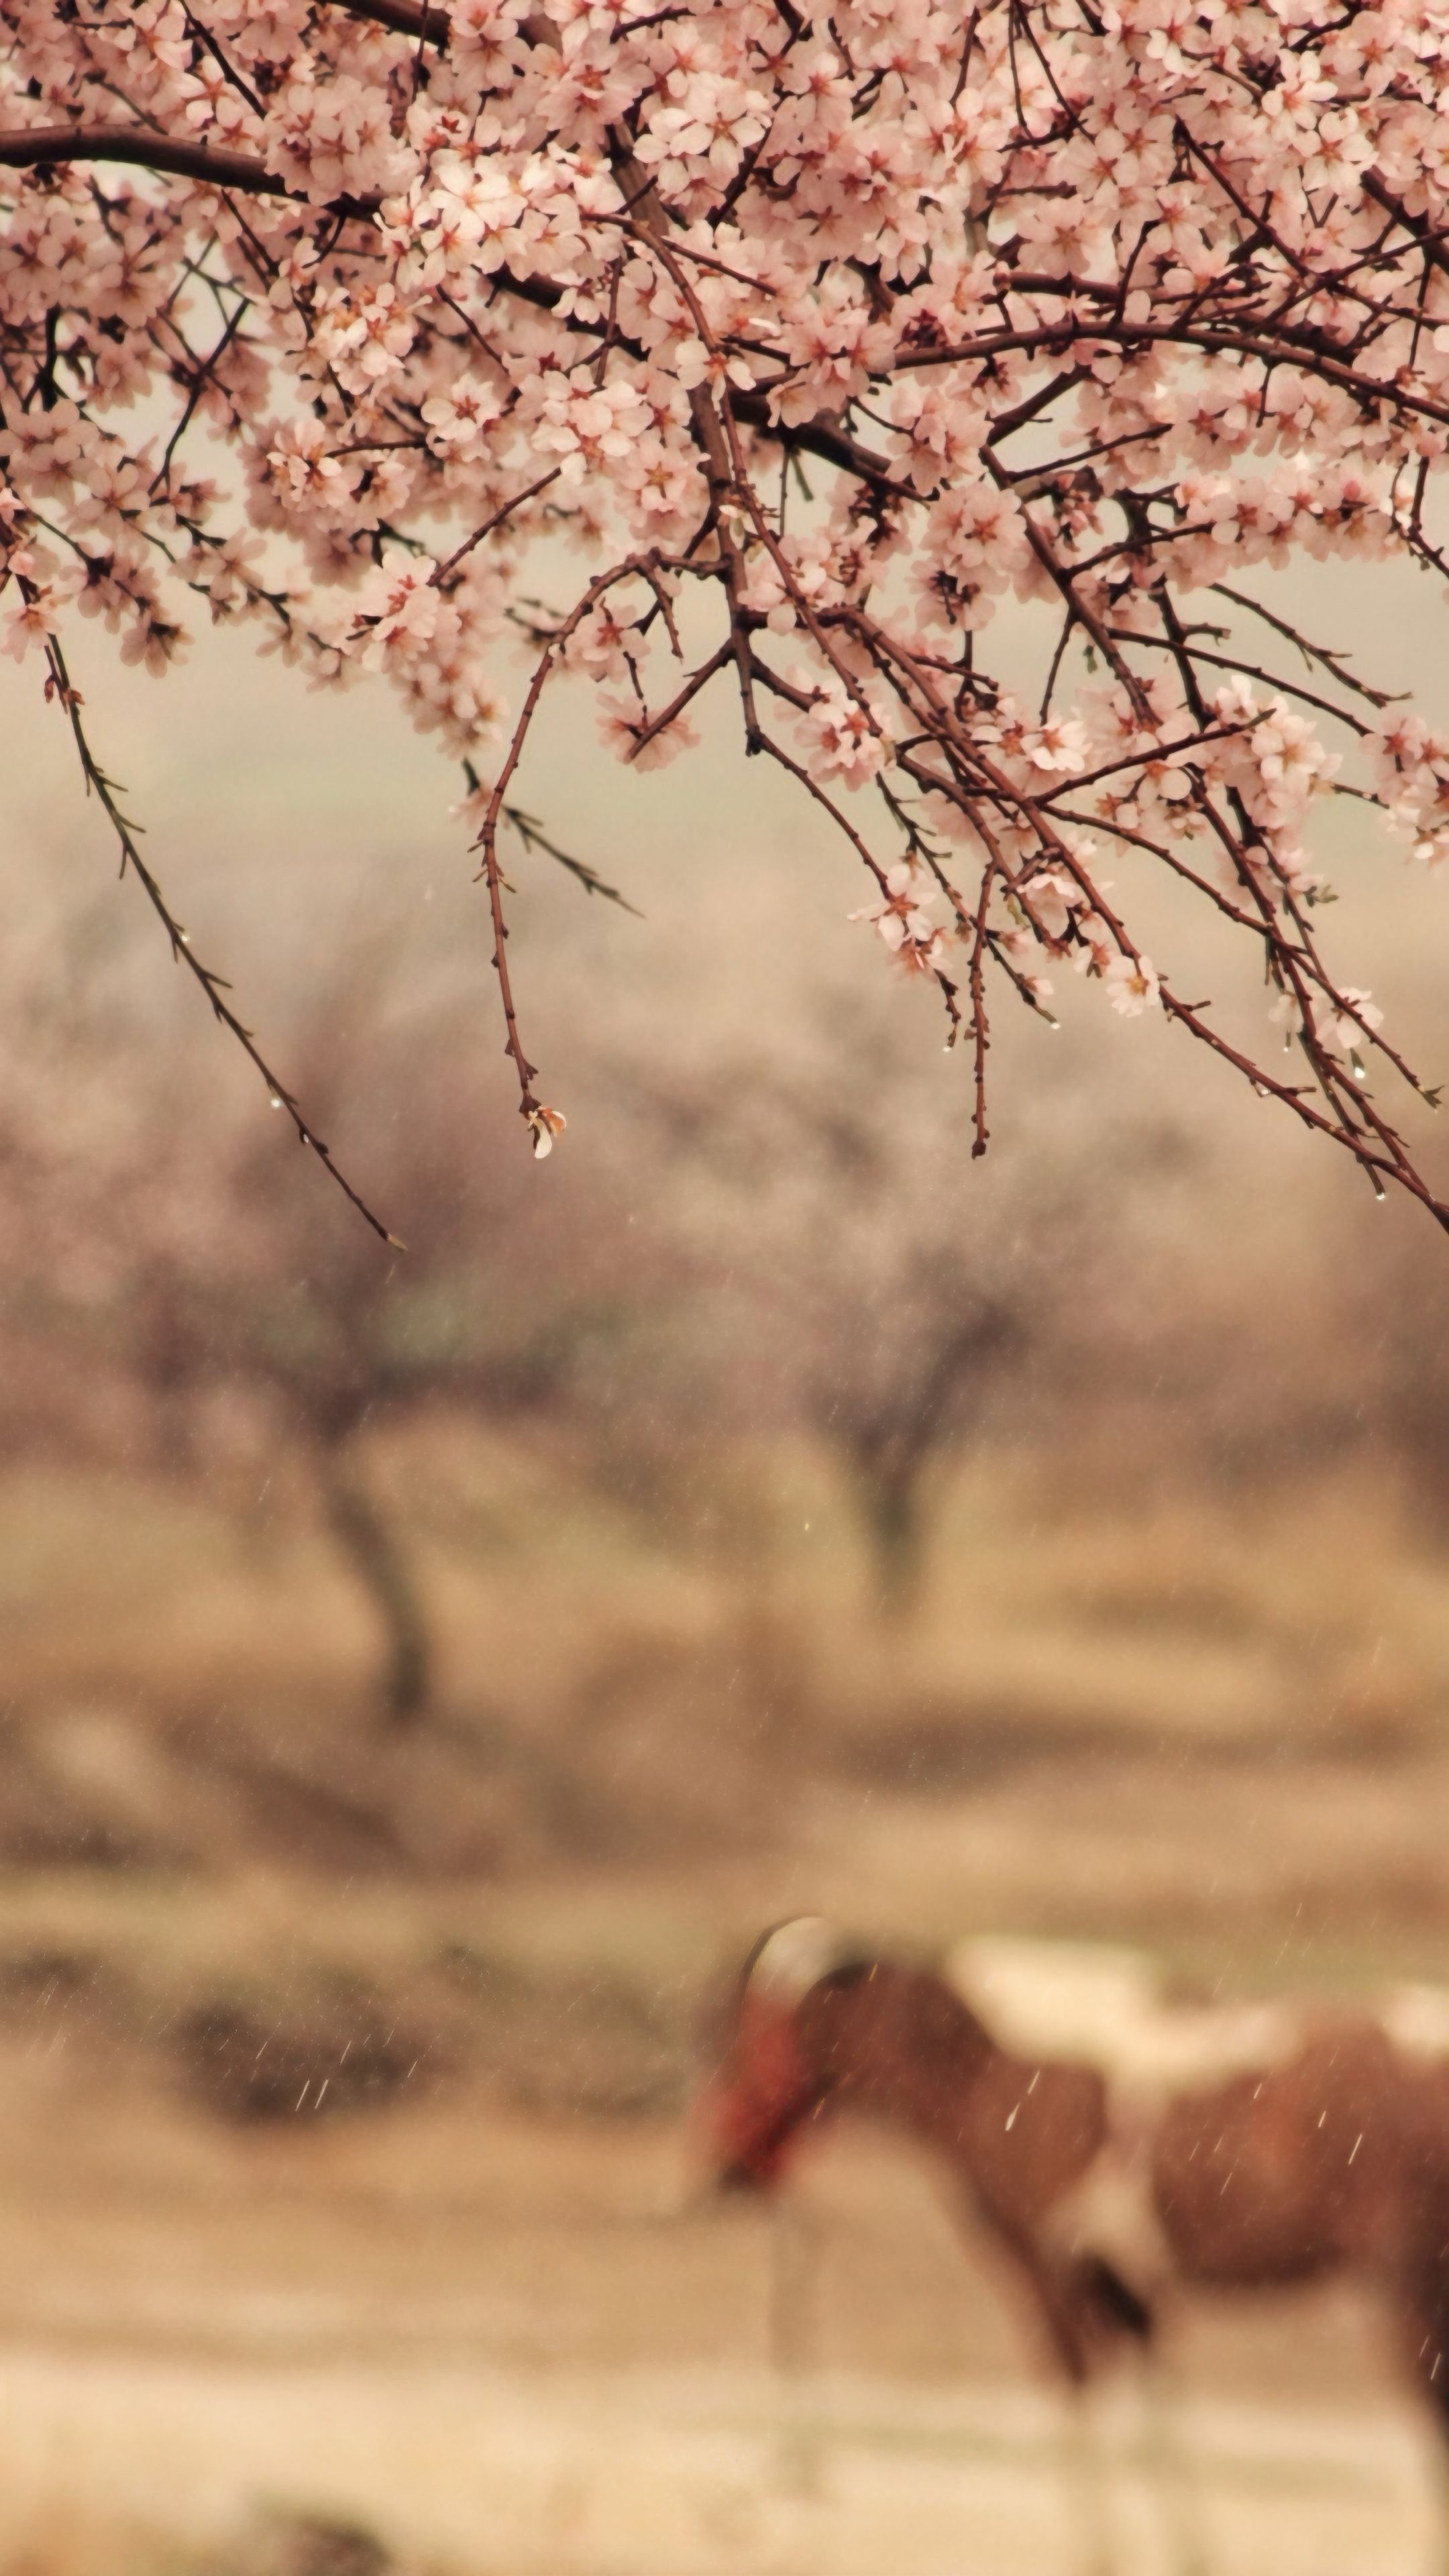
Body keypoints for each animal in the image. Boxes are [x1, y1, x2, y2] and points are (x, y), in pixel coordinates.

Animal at [694, 1916, 1449, 2573]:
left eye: (749, 2023)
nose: (729, 2169)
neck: (991, 2064)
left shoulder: (1050, 2271)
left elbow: (1079, 2394)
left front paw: (1101, 2555)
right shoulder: (1124, 2286)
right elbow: (1153, 2411)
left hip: (1410, 2297)